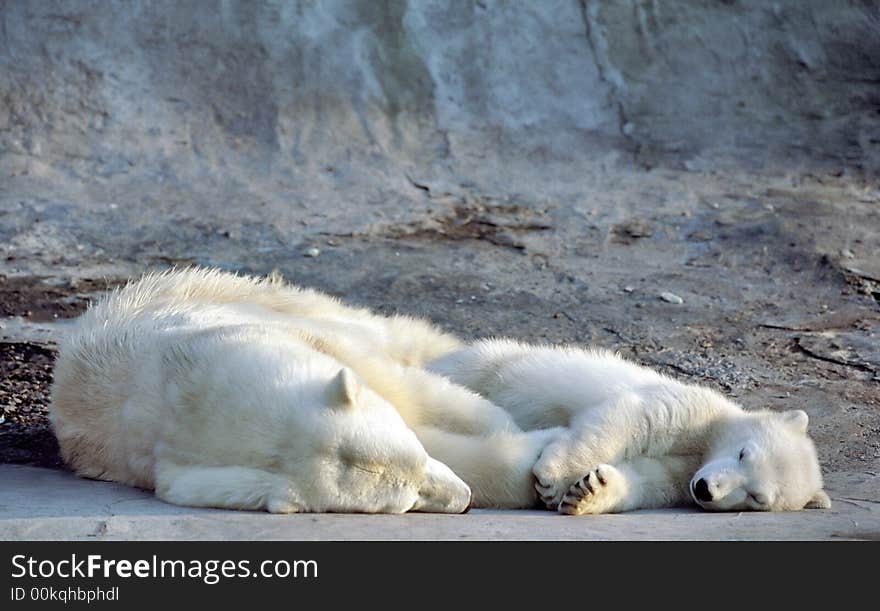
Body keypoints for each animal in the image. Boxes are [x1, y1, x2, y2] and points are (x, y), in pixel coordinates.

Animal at [49, 270, 556, 512]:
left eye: (415, 456)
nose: (464, 499)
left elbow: (415, 394)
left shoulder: (282, 333)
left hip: (240, 292)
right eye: (406, 500)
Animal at [426, 342, 832, 512]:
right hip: (492, 365)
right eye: (743, 452)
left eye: (757, 497)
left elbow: (647, 480)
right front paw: (552, 478)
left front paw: (587, 492)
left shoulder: (681, 475)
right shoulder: (695, 410)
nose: (705, 489)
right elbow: (637, 417)